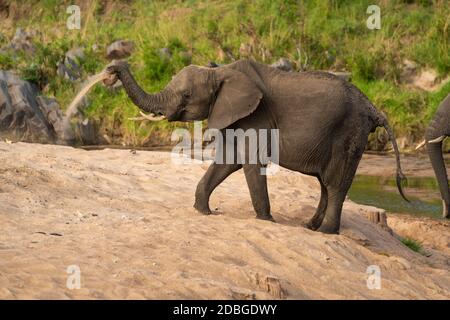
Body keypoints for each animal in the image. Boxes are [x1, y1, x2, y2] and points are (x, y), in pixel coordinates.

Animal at [103, 58, 408, 234]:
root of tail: (373, 108)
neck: (219, 73)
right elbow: (228, 162)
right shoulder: (233, 114)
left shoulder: (256, 115)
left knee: (335, 184)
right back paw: (310, 227)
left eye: (187, 95)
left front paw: (266, 221)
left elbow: (251, 163)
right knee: (326, 184)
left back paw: (325, 232)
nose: (110, 70)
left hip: (349, 133)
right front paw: (204, 211)